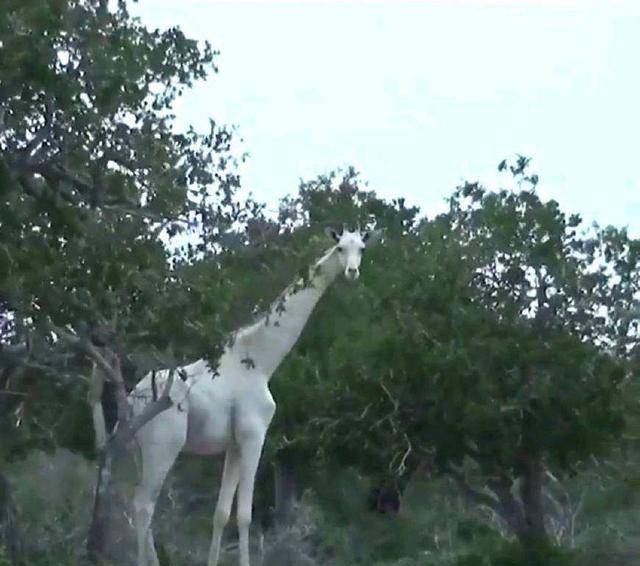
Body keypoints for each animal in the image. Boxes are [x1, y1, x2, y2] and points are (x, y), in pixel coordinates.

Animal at [130, 227, 380, 566]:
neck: (262, 361)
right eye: (340, 248)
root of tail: (133, 399)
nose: (353, 272)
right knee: (144, 506)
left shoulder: (234, 444)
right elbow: (245, 515)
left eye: (361, 248)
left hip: (139, 450)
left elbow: (221, 513)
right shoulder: (254, 436)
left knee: (138, 504)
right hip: (163, 445)